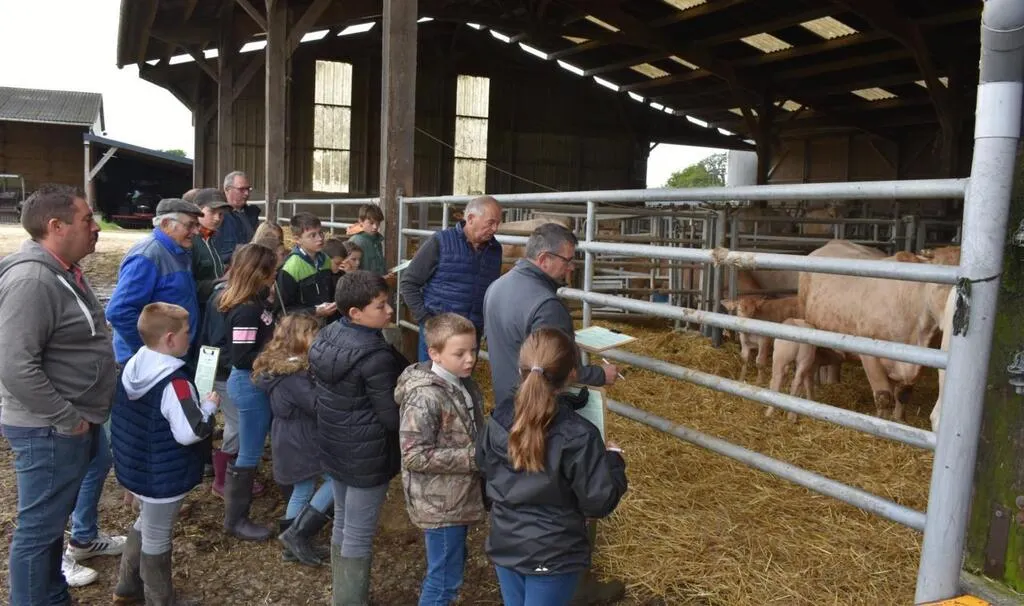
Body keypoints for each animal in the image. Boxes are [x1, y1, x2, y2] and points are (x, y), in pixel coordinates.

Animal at [798, 240, 959, 422]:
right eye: (940, 283)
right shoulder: (870, 354)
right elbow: (883, 397)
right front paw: (882, 421)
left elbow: (903, 395)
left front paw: (899, 420)